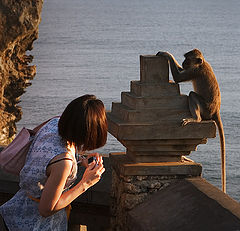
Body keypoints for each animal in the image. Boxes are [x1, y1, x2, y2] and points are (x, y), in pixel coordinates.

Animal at [157, 48, 226, 193]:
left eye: (188, 59)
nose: (184, 62)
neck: (201, 64)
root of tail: (216, 110)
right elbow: (180, 71)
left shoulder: (195, 71)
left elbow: (178, 78)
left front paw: (166, 54)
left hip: (206, 109)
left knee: (192, 95)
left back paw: (196, 119)